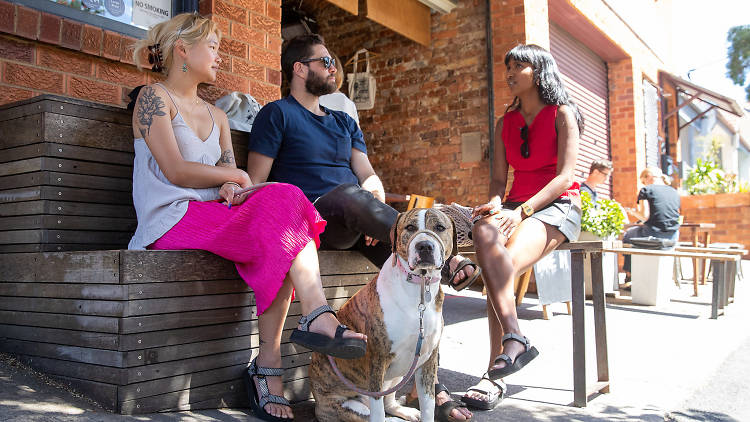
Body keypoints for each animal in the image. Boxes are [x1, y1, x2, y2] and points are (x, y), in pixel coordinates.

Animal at [308, 209, 456, 422]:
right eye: (410, 227)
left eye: (440, 227)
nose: (425, 246)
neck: (420, 289)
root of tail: (318, 406)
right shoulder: (377, 362)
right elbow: (378, 409)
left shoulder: (427, 361)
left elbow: (428, 405)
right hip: (352, 407)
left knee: (389, 401)